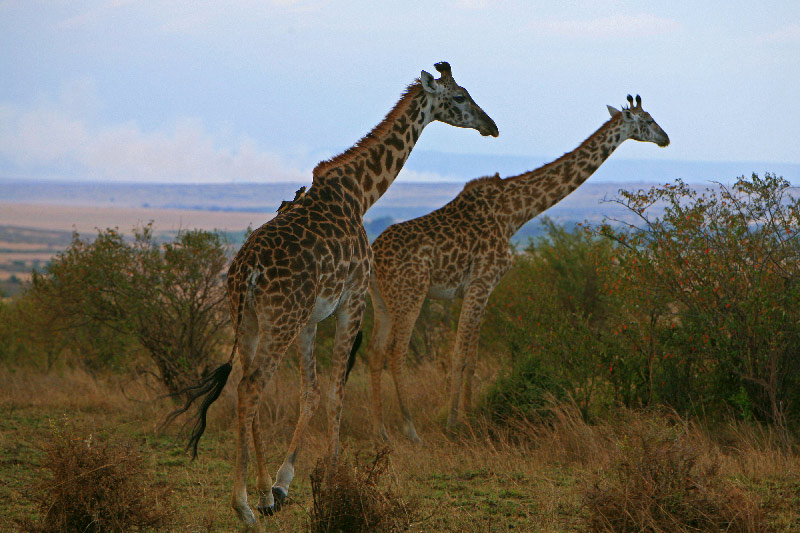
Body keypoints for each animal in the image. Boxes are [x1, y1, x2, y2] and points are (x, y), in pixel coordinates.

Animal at [166, 61, 496, 524]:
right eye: (461, 96)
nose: (491, 126)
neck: (361, 193)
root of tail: (246, 272)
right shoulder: (352, 301)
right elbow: (338, 390)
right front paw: (337, 478)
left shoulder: (310, 319)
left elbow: (312, 392)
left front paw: (281, 485)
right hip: (280, 320)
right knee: (251, 387)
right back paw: (243, 505)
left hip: (248, 320)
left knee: (247, 389)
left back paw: (260, 496)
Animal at [366, 92, 664, 440]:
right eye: (647, 121)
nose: (666, 139)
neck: (514, 213)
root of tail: (374, 258)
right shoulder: (480, 283)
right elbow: (457, 355)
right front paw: (453, 424)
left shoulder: (483, 290)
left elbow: (472, 358)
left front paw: (471, 417)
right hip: (410, 295)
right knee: (396, 353)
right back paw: (411, 429)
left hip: (382, 300)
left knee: (374, 352)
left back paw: (380, 430)